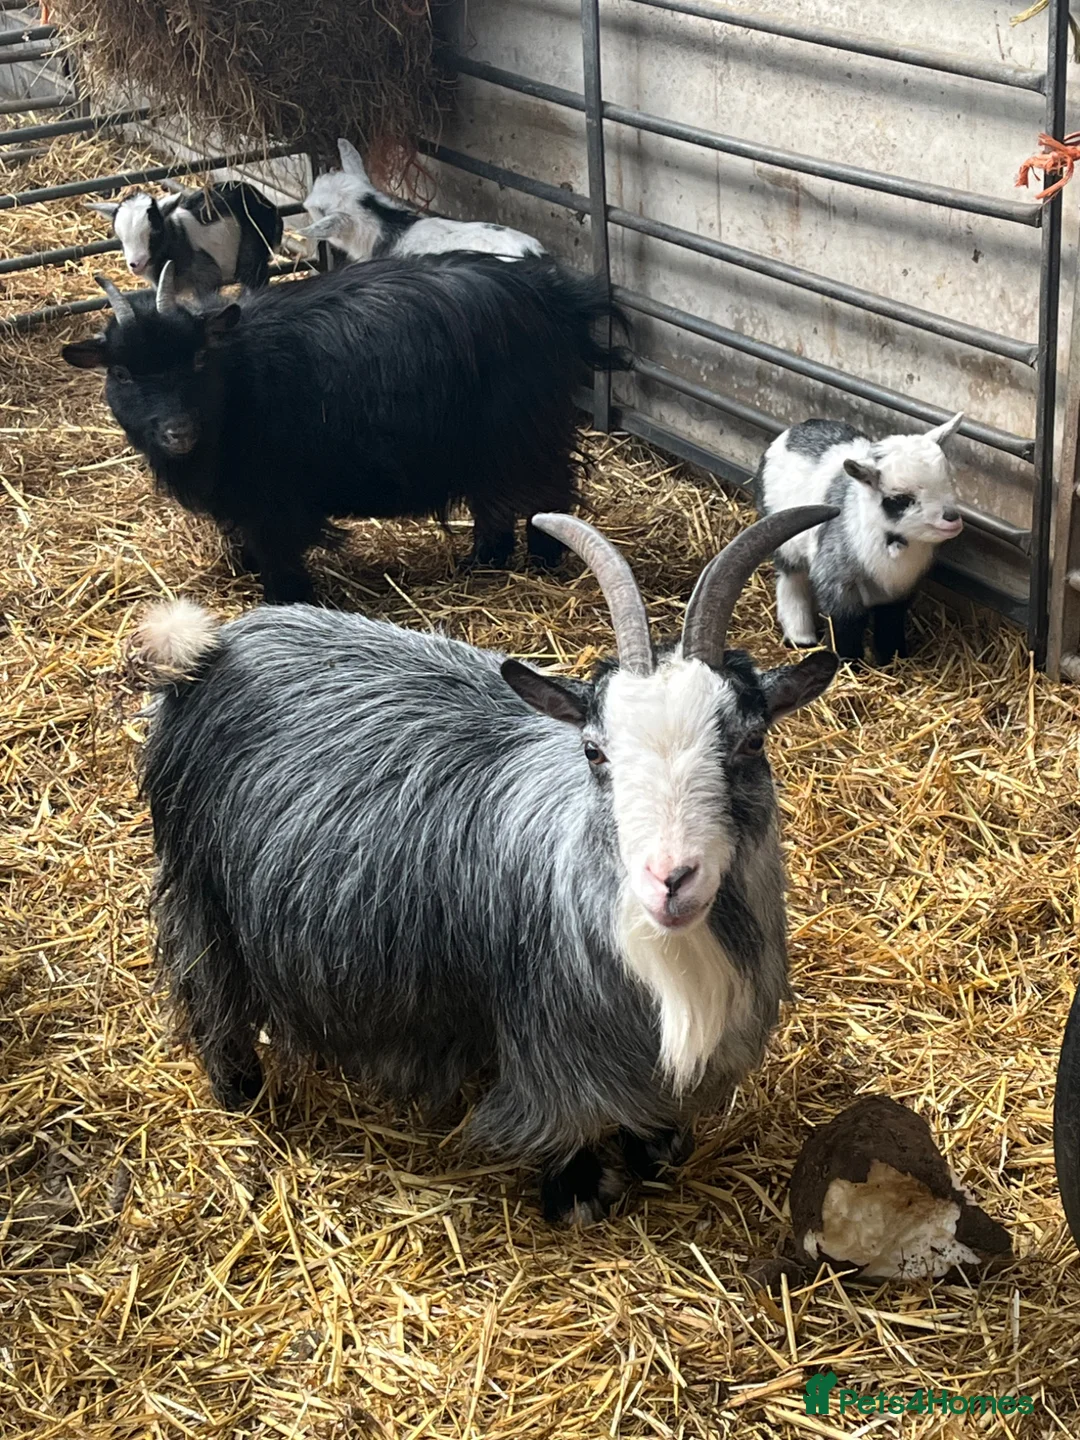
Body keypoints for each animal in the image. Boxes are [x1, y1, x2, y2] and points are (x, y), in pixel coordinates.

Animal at [61, 256, 627, 602]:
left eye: (199, 357)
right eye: (120, 372)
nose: (179, 431)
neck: (241, 374)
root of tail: (550, 295)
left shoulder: (274, 497)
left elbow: (278, 552)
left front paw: (284, 598)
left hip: (522, 433)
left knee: (544, 494)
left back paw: (541, 561)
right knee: (494, 500)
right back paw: (483, 562)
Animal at [133, 507, 839, 1223]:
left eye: (752, 741)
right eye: (595, 752)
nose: (670, 879)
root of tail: (214, 648)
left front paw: (656, 1149)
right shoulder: (553, 1040)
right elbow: (566, 1117)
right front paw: (576, 1191)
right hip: (202, 893)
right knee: (208, 989)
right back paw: (237, 1088)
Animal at [753, 414, 965, 664]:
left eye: (950, 481)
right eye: (900, 499)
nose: (951, 518)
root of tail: (800, 427)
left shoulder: (899, 590)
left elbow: (890, 622)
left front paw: (894, 659)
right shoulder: (837, 582)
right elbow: (845, 624)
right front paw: (849, 663)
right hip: (783, 540)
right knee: (792, 580)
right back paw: (801, 637)